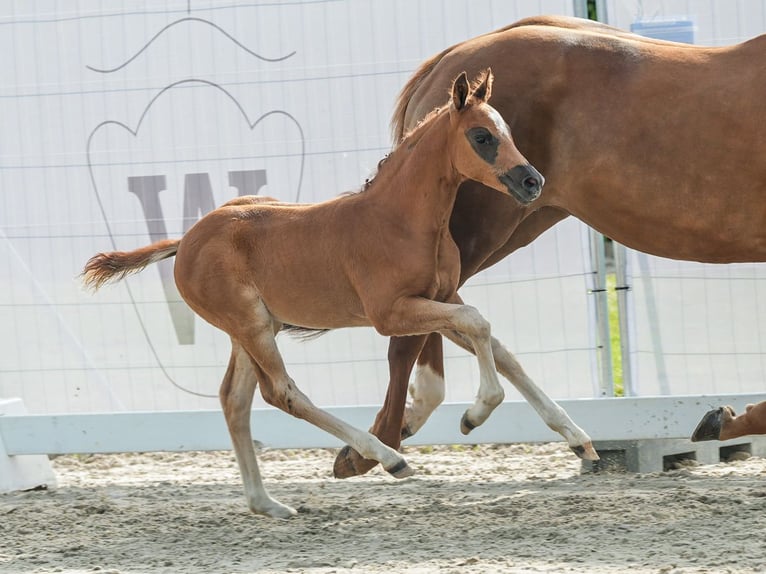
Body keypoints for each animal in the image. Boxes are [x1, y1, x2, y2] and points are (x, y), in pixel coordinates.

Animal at [334, 15, 766, 480]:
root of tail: (447, 64)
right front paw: (729, 419)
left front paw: (727, 418)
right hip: (477, 228)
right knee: (412, 332)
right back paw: (376, 446)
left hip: (514, 223)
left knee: (451, 322)